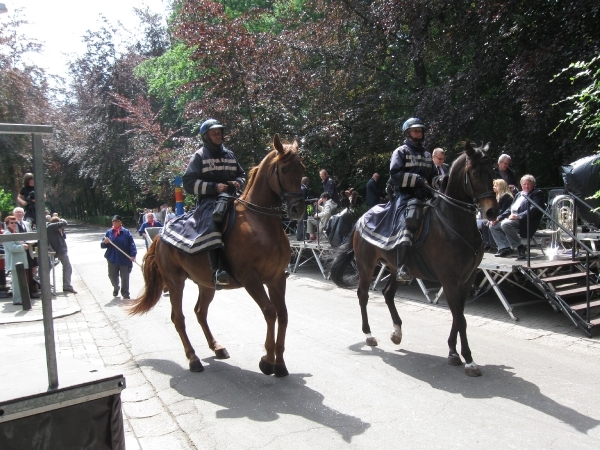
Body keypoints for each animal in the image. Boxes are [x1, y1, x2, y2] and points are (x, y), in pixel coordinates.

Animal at [128, 134, 302, 376]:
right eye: (284, 169)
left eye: (302, 167)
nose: (298, 209)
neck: (261, 223)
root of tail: (160, 235)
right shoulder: (251, 278)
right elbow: (270, 312)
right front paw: (268, 360)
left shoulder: (276, 278)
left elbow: (283, 314)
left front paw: (280, 363)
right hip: (175, 282)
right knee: (178, 318)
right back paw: (193, 359)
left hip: (206, 284)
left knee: (200, 312)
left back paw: (217, 347)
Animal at [328, 141, 496, 376]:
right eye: (474, 172)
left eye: (492, 170)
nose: (491, 212)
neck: (453, 224)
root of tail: (361, 218)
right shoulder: (449, 280)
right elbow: (460, 318)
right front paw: (469, 360)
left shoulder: (466, 279)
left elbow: (459, 315)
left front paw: (453, 353)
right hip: (366, 266)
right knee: (363, 295)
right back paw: (369, 335)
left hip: (393, 268)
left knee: (388, 294)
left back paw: (396, 333)